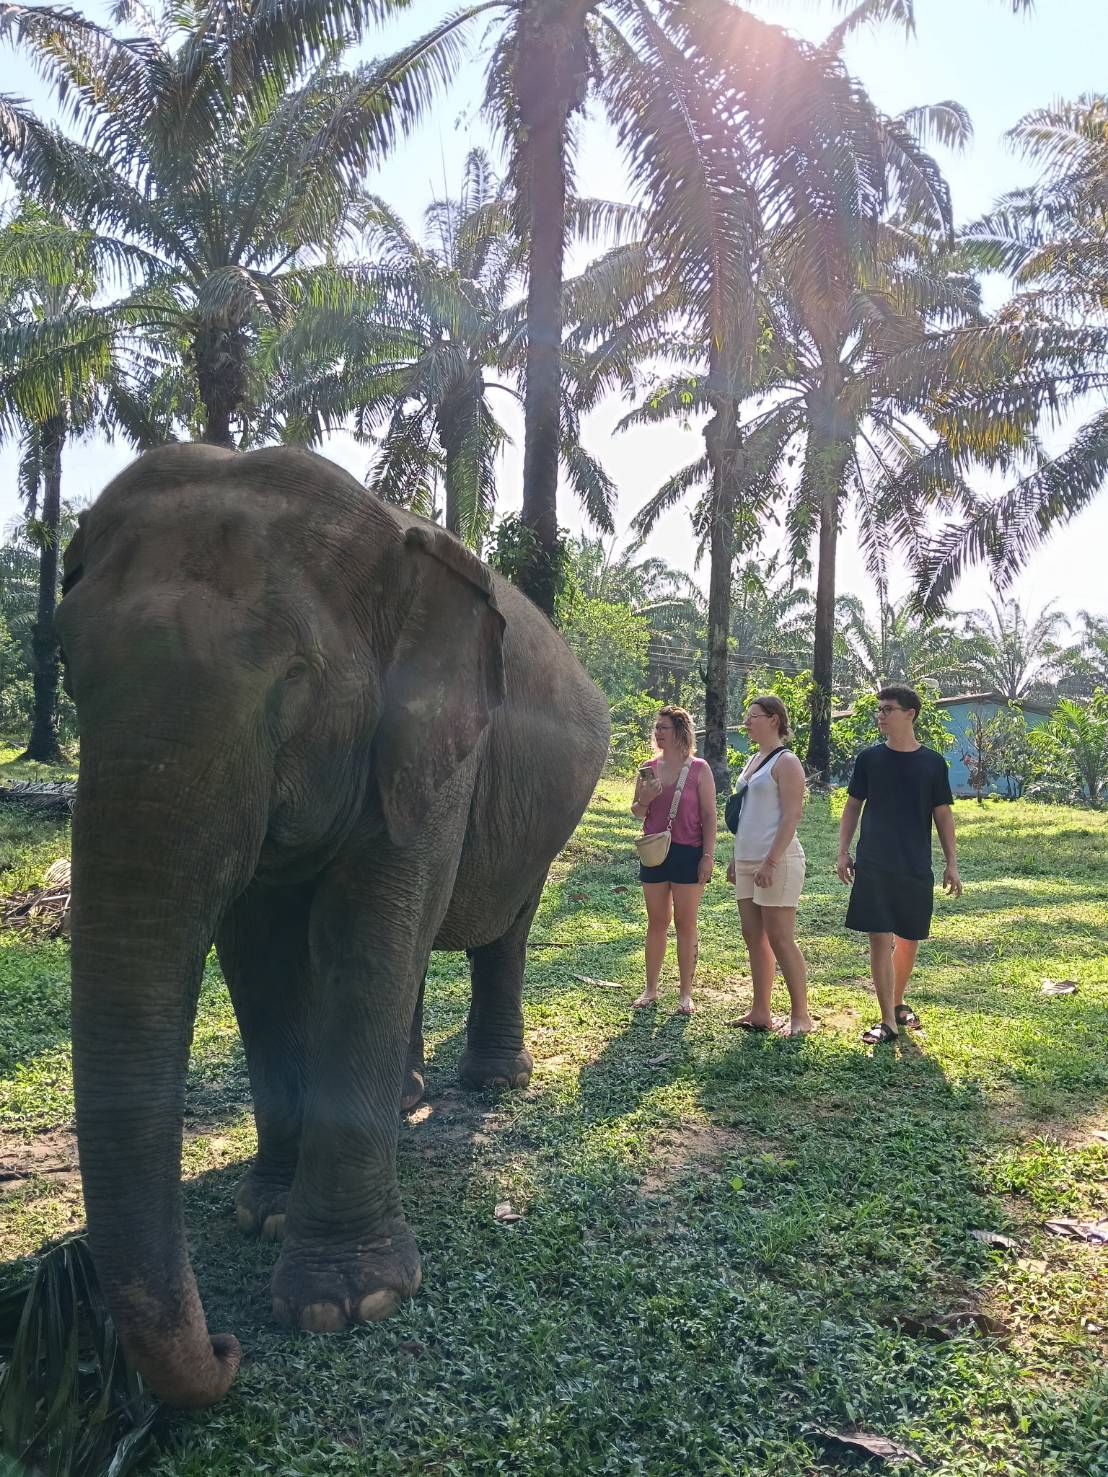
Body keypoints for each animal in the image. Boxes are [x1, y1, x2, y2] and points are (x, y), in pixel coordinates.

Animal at [55, 444, 610, 1408]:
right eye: (67, 669)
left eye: (292, 684)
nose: (227, 1347)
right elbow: (260, 953)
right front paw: (262, 1213)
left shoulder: (438, 748)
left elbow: (367, 929)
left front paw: (350, 1303)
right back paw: (408, 1094)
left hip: (547, 818)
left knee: (504, 925)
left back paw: (491, 1084)